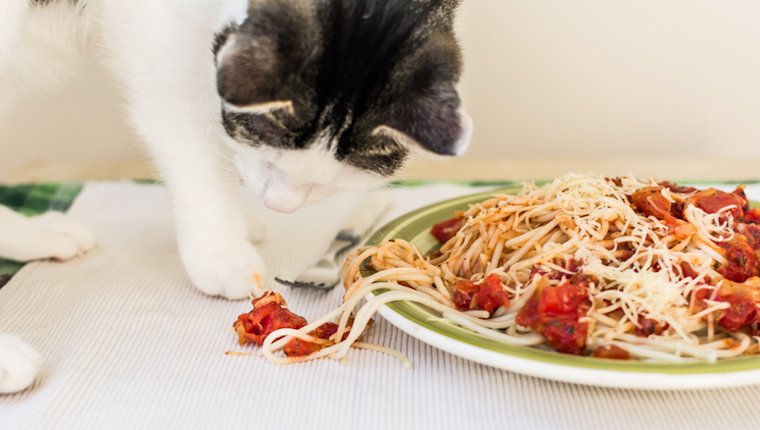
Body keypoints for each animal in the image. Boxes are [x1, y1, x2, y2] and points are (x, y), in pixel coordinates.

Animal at [0, 0, 472, 392]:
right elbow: (193, 136)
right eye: (268, 150)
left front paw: (238, 223)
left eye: (329, 182)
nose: (280, 204)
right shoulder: (156, 36)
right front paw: (219, 249)